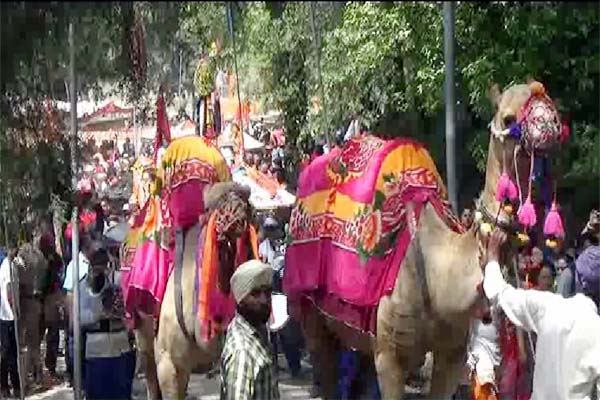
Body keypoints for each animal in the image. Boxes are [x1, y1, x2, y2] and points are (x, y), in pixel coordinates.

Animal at [284, 80, 568, 396]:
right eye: (508, 118)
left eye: (552, 105)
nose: (549, 125)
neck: (439, 270)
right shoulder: (390, 357)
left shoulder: (451, 355)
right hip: (310, 310)